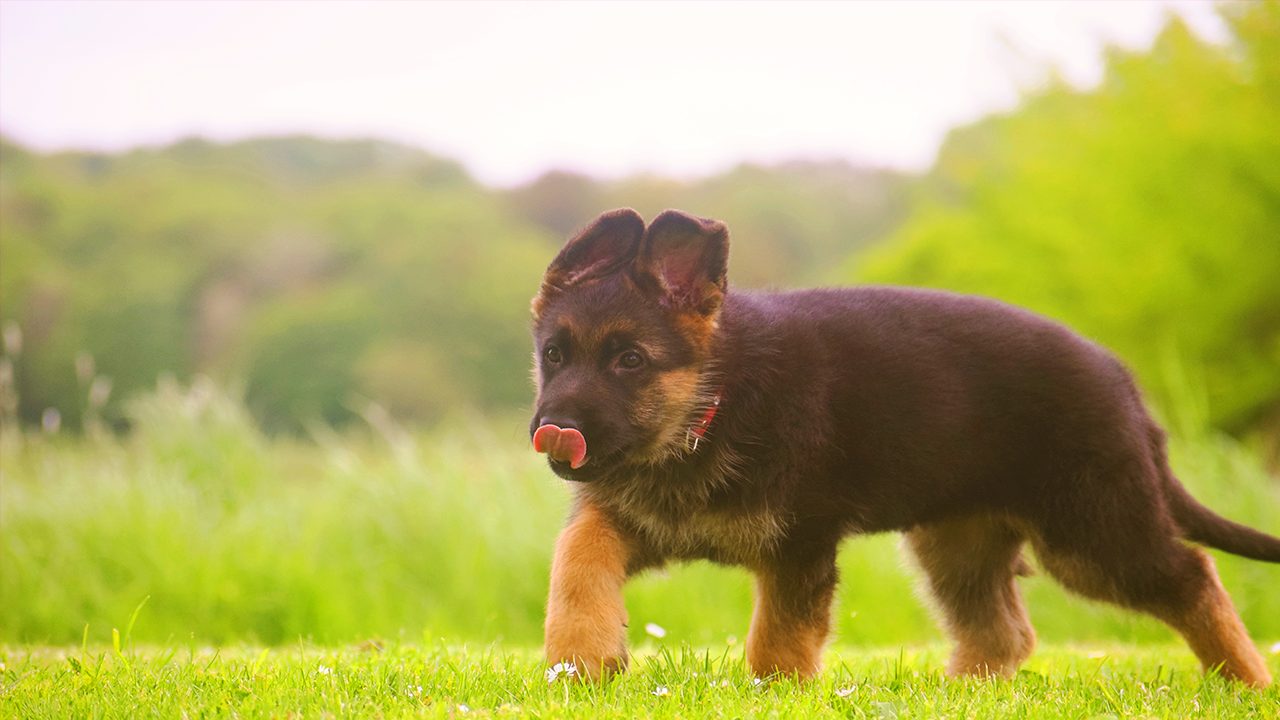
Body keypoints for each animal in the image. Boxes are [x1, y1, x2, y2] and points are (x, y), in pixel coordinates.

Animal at [524, 206, 1274, 681]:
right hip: (957, 542)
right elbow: (574, 558)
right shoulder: (631, 517)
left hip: (1091, 533)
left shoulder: (800, 544)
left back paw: (1245, 681)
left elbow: (779, 643)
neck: (708, 408)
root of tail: (1123, 381)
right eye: (555, 355)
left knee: (1192, 575)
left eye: (631, 362)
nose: (554, 433)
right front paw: (581, 656)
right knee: (1005, 632)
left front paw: (774, 696)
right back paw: (955, 694)